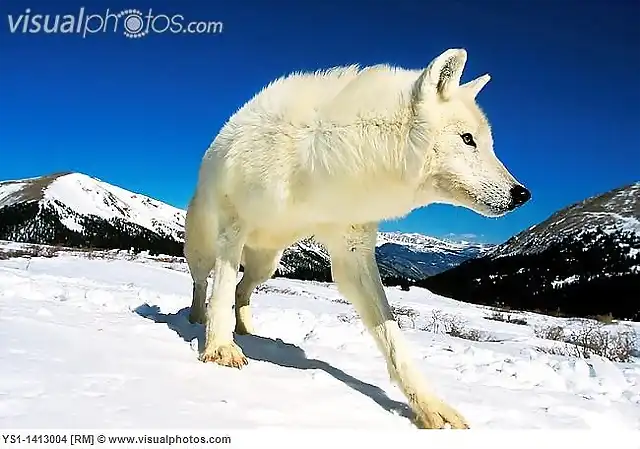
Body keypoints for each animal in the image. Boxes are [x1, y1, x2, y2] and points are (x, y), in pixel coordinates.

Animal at [184, 47, 528, 428]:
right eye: (468, 139)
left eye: (489, 143)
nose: (522, 194)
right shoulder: (233, 224)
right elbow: (221, 291)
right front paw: (218, 348)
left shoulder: (353, 252)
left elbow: (393, 338)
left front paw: (429, 407)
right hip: (206, 248)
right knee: (204, 282)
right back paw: (197, 318)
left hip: (268, 264)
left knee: (243, 290)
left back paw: (246, 329)